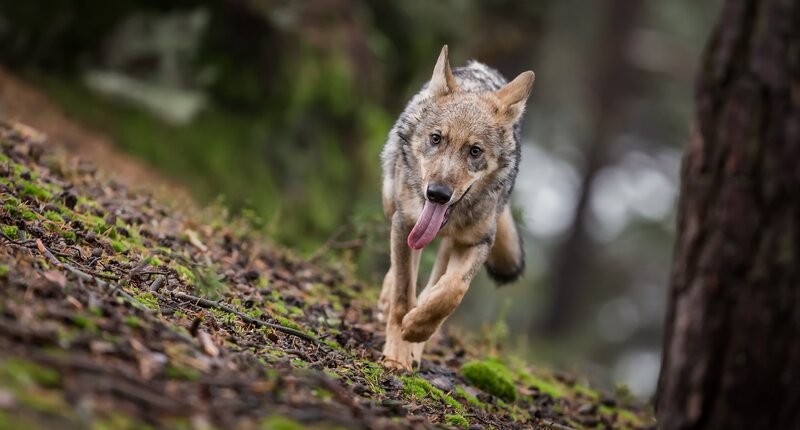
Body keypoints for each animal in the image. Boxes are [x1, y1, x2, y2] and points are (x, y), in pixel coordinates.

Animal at [378, 45, 534, 370]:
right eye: (436, 138)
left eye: (474, 151)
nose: (437, 194)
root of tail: (483, 68)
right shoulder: (405, 224)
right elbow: (402, 296)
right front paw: (396, 356)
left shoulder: (477, 242)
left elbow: (451, 292)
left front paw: (416, 330)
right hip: (392, 207)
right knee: (400, 274)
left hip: (450, 244)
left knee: (433, 284)